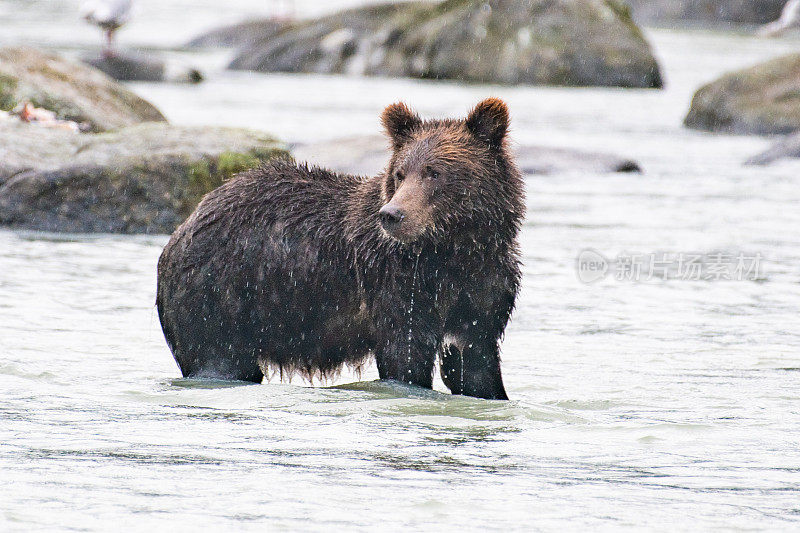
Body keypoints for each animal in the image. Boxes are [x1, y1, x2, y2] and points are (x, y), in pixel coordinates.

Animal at [159, 98, 528, 400]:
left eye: (434, 172)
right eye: (400, 173)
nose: (392, 214)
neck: (451, 251)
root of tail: (186, 224)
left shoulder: (484, 287)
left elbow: (475, 363)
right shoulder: (398, 285)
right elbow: (406, 357)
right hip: (220, 298)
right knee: (218, 359)